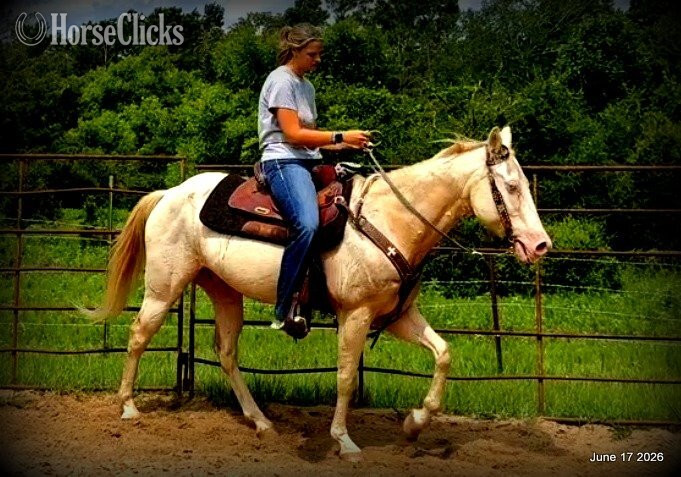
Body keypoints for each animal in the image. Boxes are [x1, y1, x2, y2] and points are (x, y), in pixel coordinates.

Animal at [89, 126, 551, 461]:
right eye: (510, 187)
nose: (540, 245)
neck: (393, 218)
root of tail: (170, 194)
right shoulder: (356, 314)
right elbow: (345, 377)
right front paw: (344, 441)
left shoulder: (399, 316)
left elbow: (443, 353)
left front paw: (415, 423)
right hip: (164, 287)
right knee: (139, 334)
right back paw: (128, 407)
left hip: (224, 292)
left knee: (226, 353)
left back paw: (260, 421)